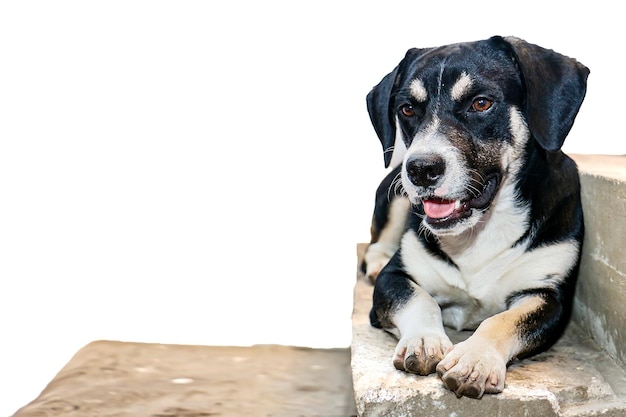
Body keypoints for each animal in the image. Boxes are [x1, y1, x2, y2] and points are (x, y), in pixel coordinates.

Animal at [364, 37, 588, 398]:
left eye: (481, 103)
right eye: (407, 109)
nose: (420, 169)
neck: (479, 231)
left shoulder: (548, 297)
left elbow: (502, 320)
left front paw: (475, 359)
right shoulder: (394, 277)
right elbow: (418, 299)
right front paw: (424, 340)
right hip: (394, 192)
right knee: (376, 243)